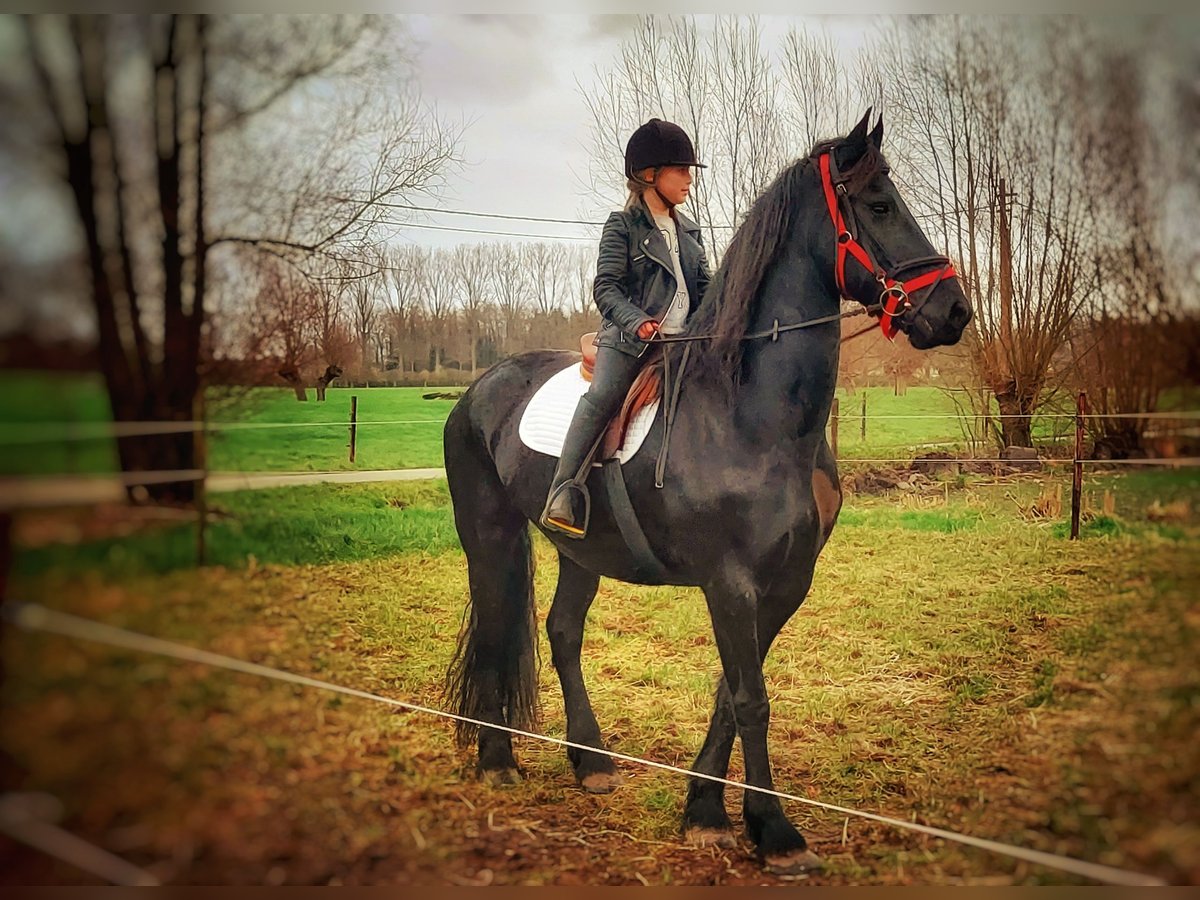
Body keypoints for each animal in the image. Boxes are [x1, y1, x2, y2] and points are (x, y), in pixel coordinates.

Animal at [446, 112, 969, 873]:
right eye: (878, 206)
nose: (952, 311)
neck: (750, 415)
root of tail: (480, 388)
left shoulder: (786, 581)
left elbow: (730, 694)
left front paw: (706, 811)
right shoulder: (730, 582)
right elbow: (752, 699)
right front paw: (777, 833)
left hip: (581, 551)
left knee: (563, 632)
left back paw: (591, 762)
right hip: (488, 537)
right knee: (494, 628)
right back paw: (497, 761)